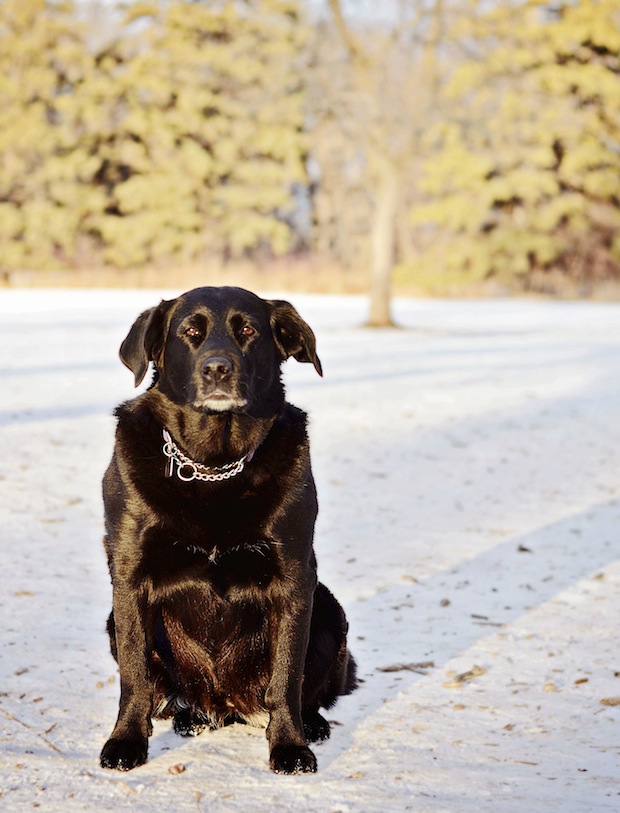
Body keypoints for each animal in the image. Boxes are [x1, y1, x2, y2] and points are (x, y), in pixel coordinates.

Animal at [100, 286, 356, 772]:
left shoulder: (294, 578)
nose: (218, 368)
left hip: (330, 610)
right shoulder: (129, 577)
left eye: (249, 330)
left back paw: (311, 724)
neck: (213, 468)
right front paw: (125, 742)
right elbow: (135, 673)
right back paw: (189, 718)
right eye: (190, 332)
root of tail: (227, 704)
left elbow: (286, 676)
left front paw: (290, 745)